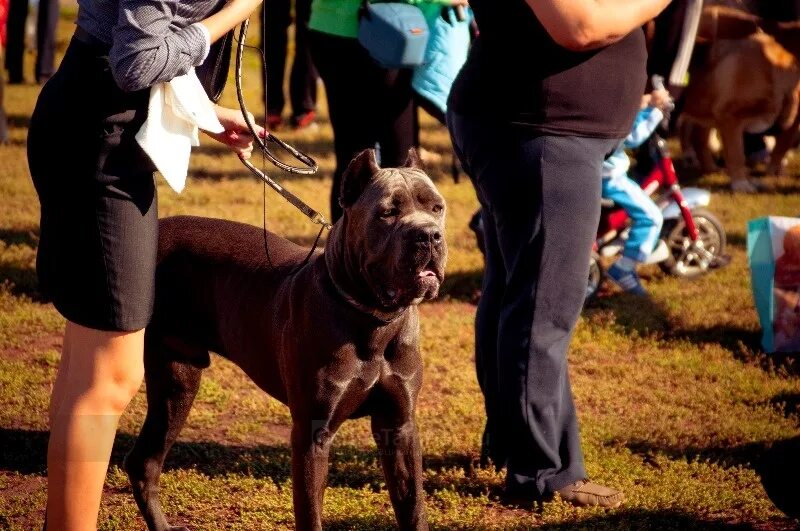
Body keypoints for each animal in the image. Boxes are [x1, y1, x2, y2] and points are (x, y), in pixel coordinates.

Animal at [126, 150, 450, 531]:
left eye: (437, 207)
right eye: (388, 212)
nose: (429, 235)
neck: (372, 318)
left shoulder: (399, 426)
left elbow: (413, 508)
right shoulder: (312, 433)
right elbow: (309, 514)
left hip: (178, 382)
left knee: (144, 462)